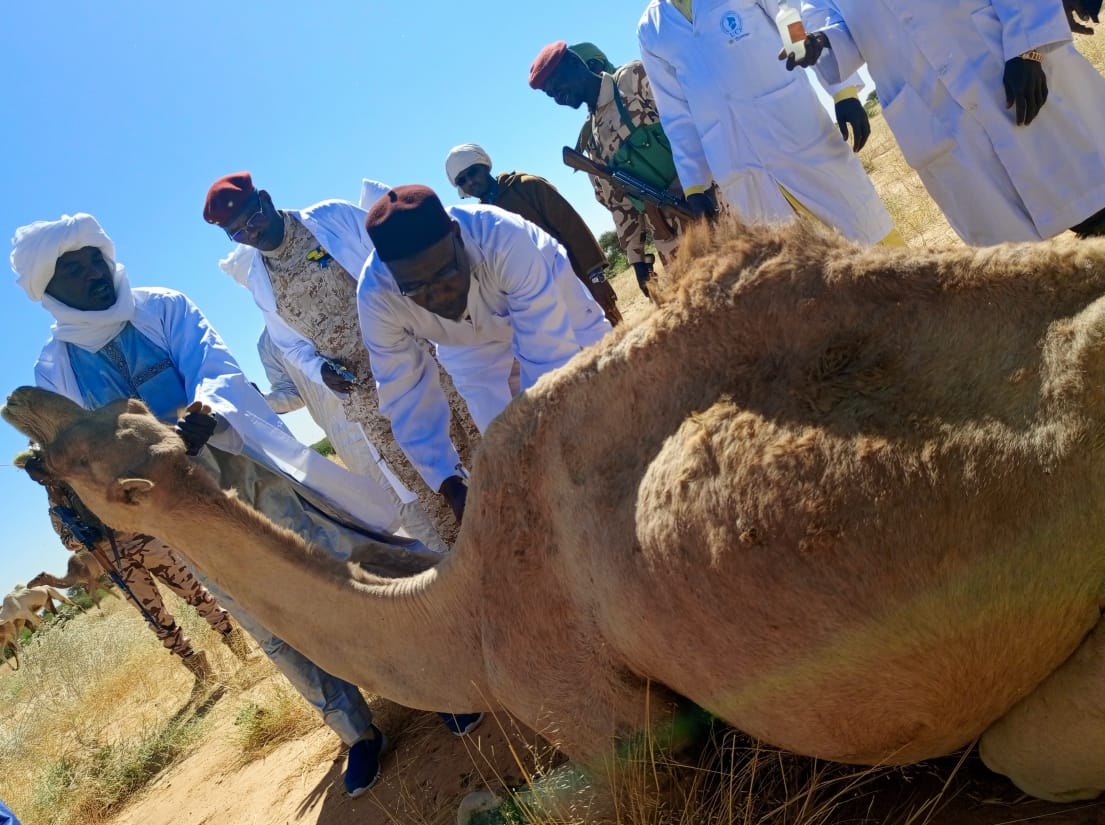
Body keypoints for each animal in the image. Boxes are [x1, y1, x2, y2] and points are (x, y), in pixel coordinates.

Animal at [8, 220, 1105, 808]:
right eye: (108, 424)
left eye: (79, 467)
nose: (25, 424)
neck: (461, 609)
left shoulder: (610, 731)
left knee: (1024, 747)